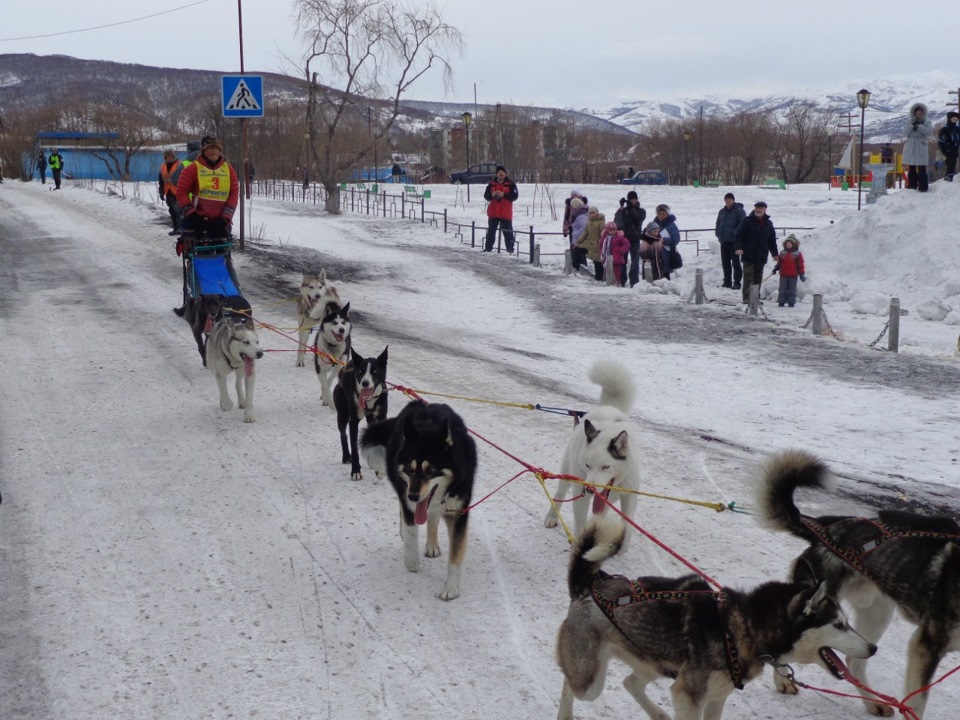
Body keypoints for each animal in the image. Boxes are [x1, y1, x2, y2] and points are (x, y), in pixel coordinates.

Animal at [334, 348, 386, 480]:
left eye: (375, 371)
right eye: (361, 371)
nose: (365, 383)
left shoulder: (381, 418)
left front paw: (379, 468)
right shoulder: (353, 423)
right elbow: (355, 448)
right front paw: (356, 471)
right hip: (342, 415)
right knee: (343, 435)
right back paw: (346, 456)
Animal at [360, 402, 476, 600]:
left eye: (431, 470)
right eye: (410, 468)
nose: (413, 496)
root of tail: (417, 403)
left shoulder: (457, 511)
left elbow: (456, 552)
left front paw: (451, 588)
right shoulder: (408, 500)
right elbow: (411, 531)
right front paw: (412, 560)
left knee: (433, 517)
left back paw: (432, 544)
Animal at [544, 358, 640, 548]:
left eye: (606, 467)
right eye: (588, 465)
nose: (589, 489)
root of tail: (608, 407)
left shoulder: (628, 495)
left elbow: (628, 525)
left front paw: (621, 546)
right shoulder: (580, 495)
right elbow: (580, 520)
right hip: (568, 473)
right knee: (559, 494)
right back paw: (551, 516)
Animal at [556, 516, 876, 720]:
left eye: (848, 622)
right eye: (839, 625)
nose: (873, 648)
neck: (741, 628)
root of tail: (588, 586)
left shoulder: (714, 697)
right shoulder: (689, 697)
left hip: (654, 665)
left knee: (630, 683)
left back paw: (658, 714)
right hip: (590, 682)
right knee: (570, 685)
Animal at [756, 450, 960, 720]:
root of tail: (826, 527)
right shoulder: (926, 646)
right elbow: (916, 704)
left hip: (877, 615)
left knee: (853, 661)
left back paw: (873, 702)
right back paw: (783, 680)